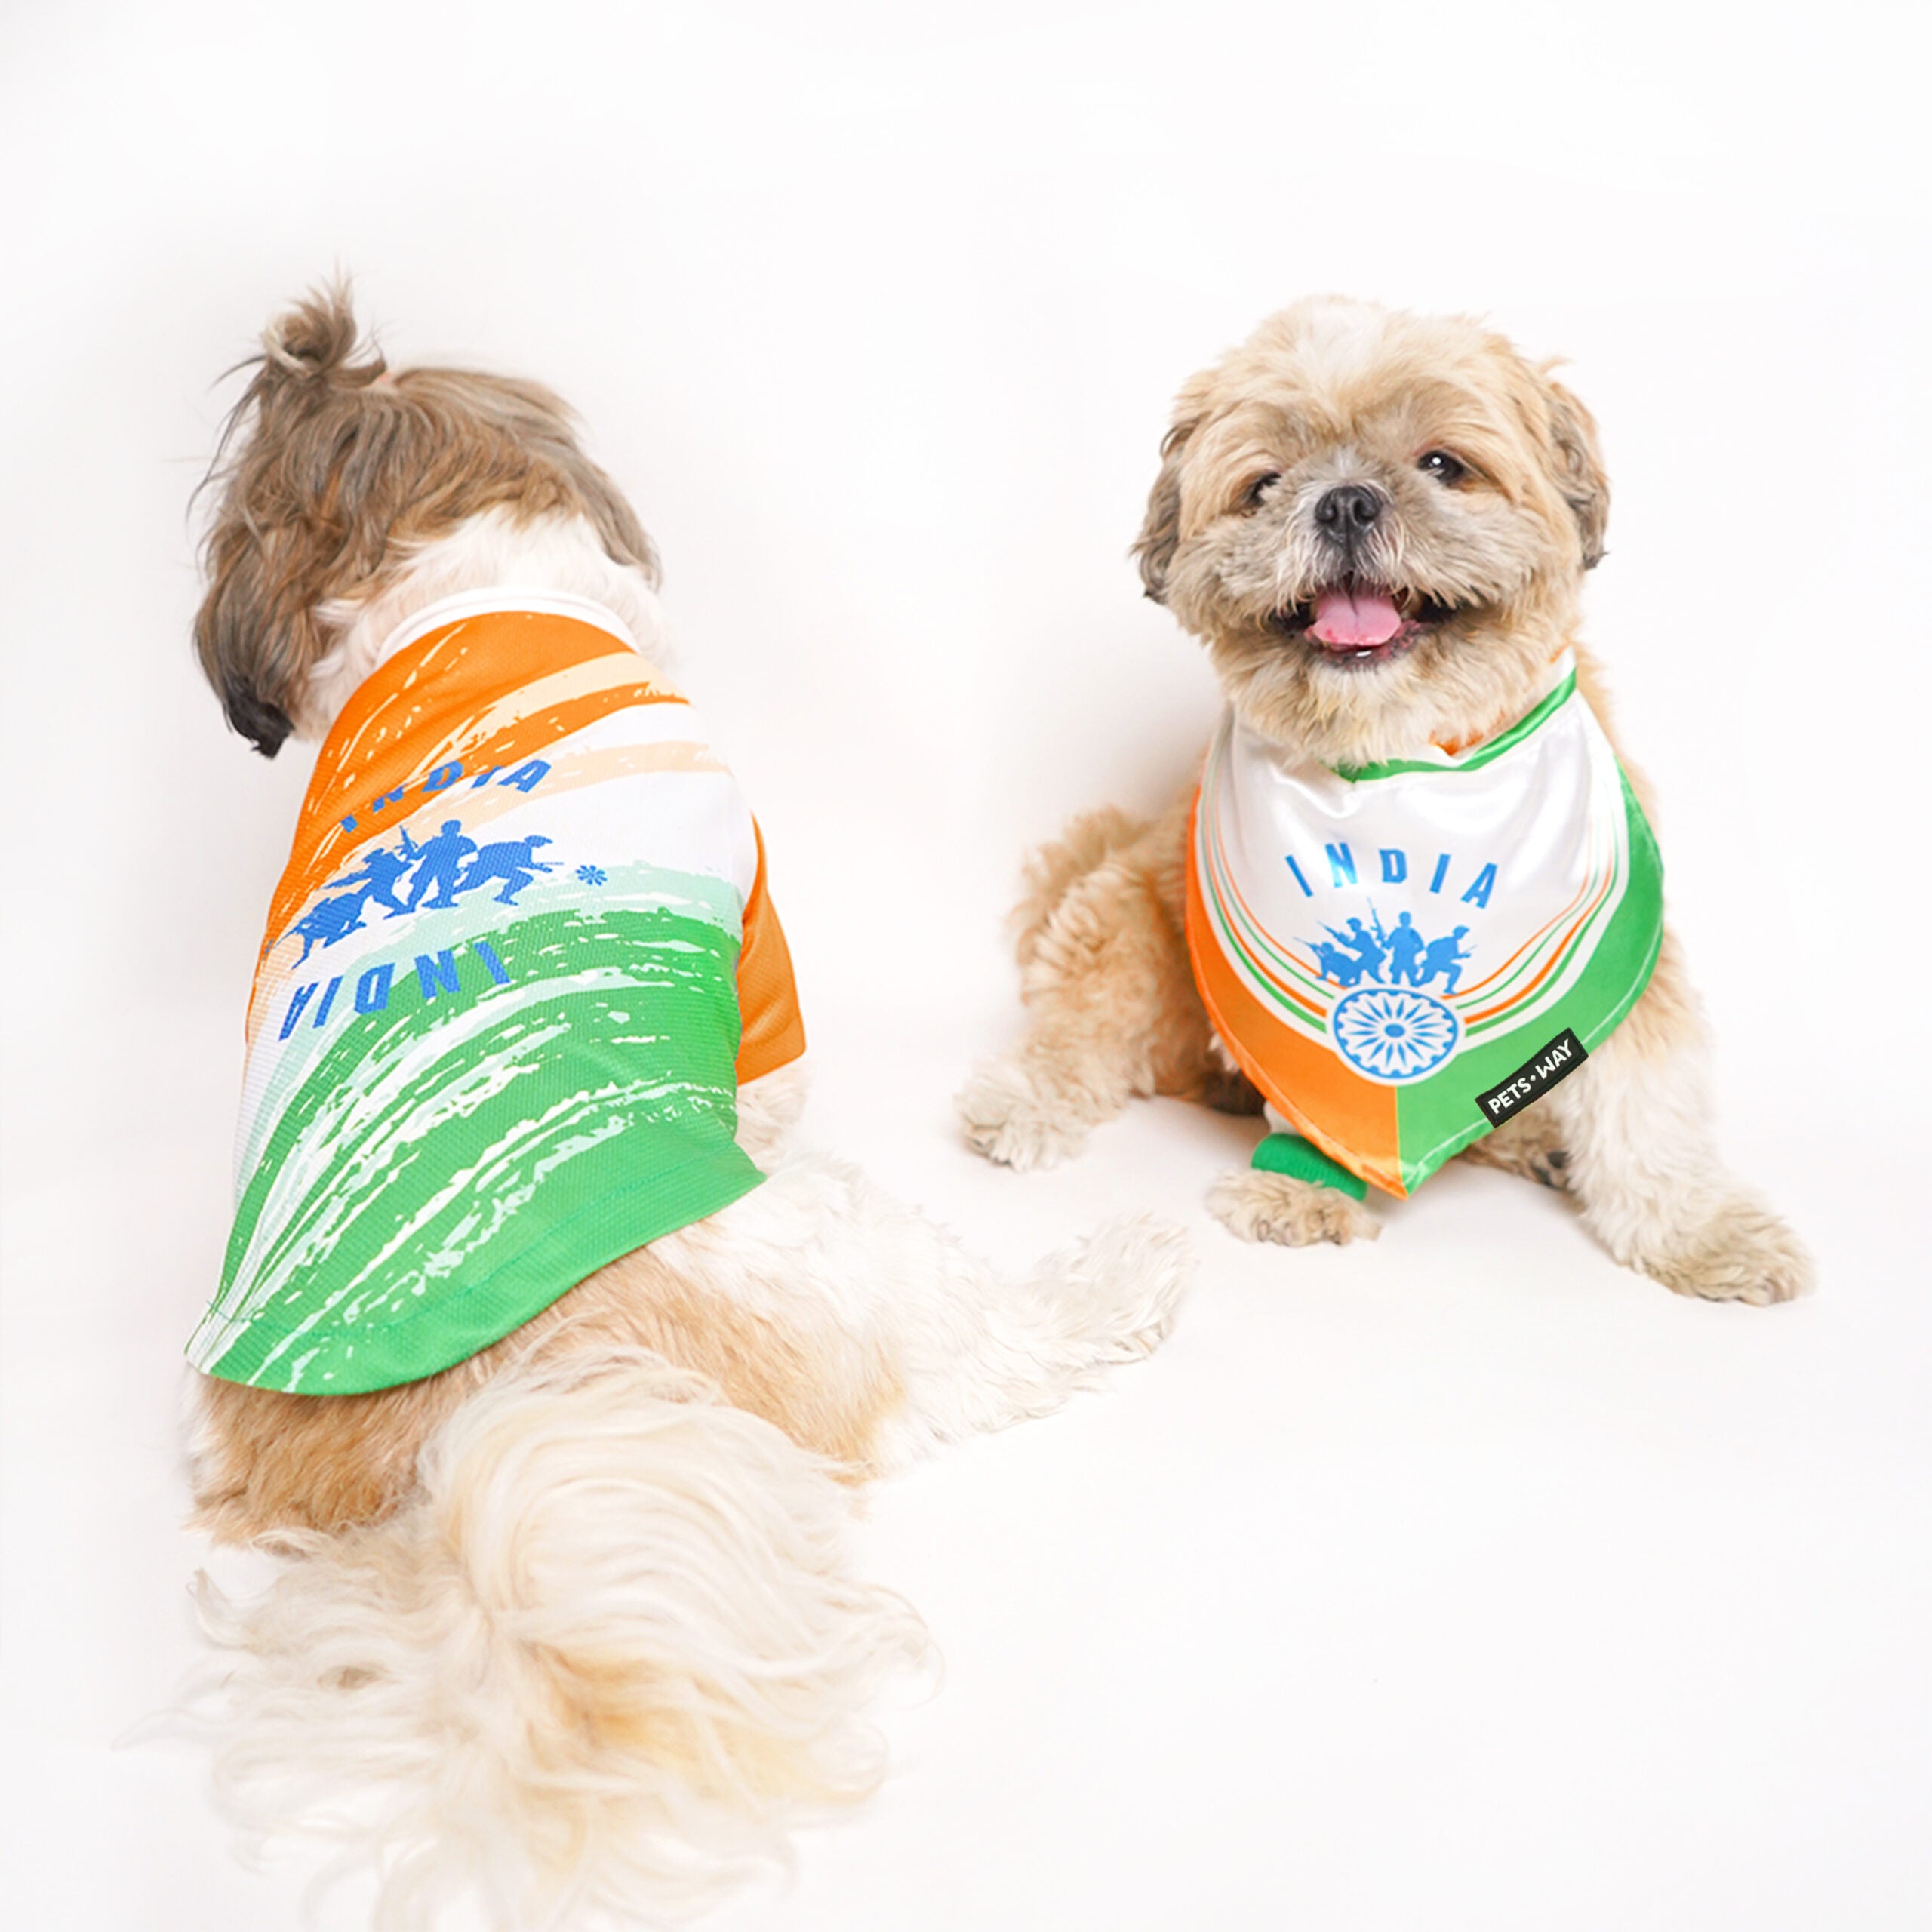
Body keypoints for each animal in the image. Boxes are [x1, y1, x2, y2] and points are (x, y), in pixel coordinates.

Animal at [966, 294, 1808, 1306]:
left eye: (1442, 464)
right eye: (1263, 484)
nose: (1344, 501)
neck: (1404, 761)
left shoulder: (1625, 951)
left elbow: (1649, 1108)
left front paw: (1701, 1234)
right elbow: (1324, 1094)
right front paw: (1300, 1189)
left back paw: (1533, 1138)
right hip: (1121, 913)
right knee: (1080, 1028)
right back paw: (1026, 1098)